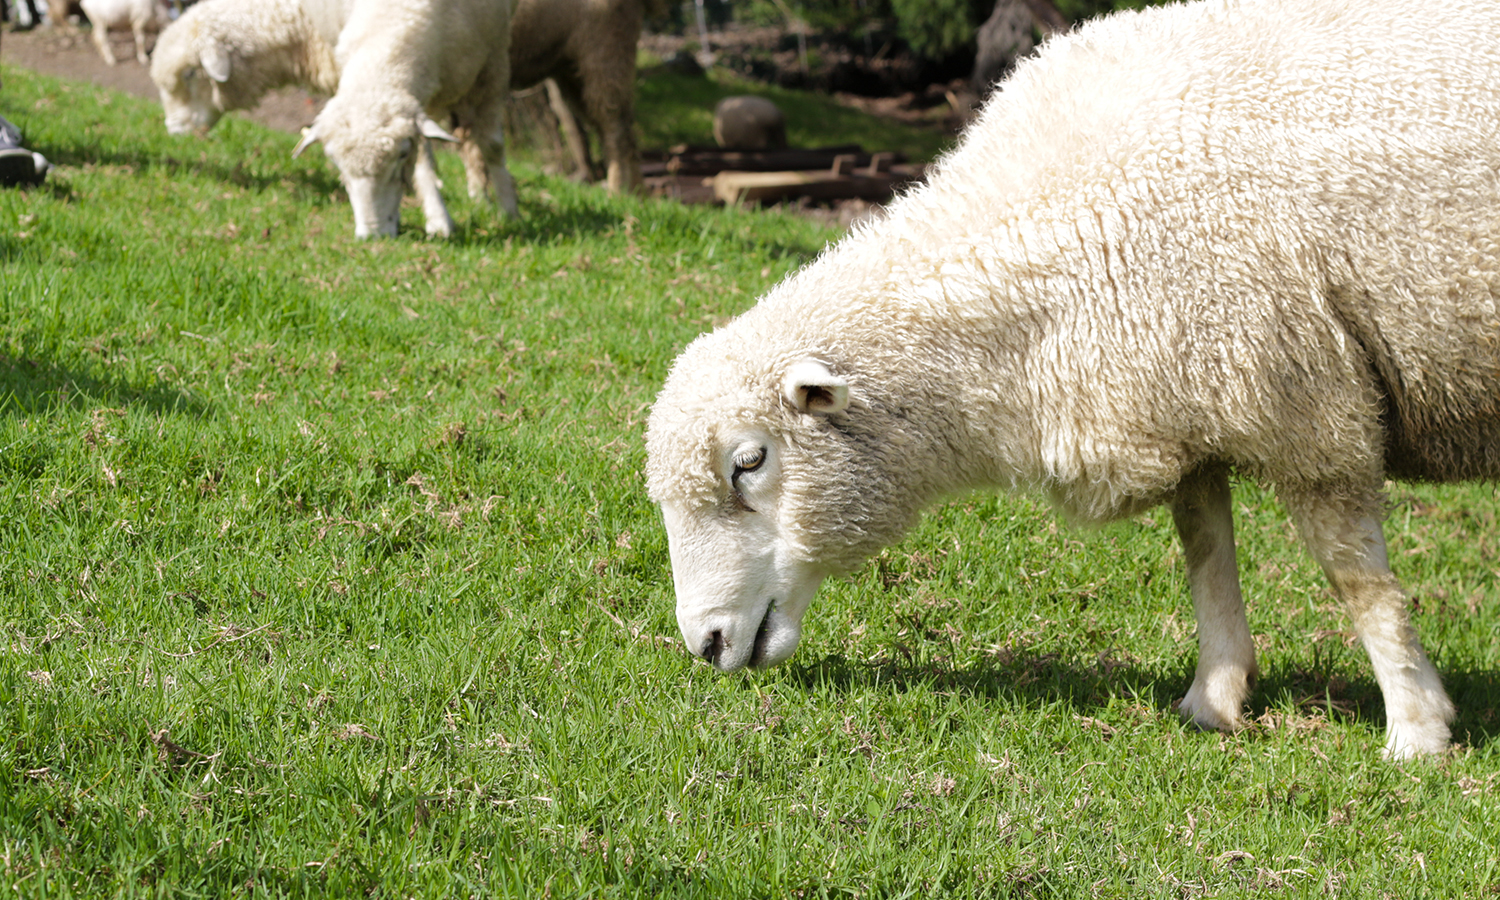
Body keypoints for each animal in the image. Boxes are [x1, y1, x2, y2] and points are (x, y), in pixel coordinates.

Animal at [291, 0, 516, 238]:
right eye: (333, 160)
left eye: (402, 154)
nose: (372, 235)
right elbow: (424, 159)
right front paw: (438, 219)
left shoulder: (494, 63)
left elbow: (493, 146)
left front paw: (510, 211)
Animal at [642, 0, 1500, 759]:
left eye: (749, 462)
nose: (705, 643)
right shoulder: (1184, 389)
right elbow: (1204, 553)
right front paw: (1215, 696)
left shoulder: (1309, 402)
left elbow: (1357, 581)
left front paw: (1417, 730)